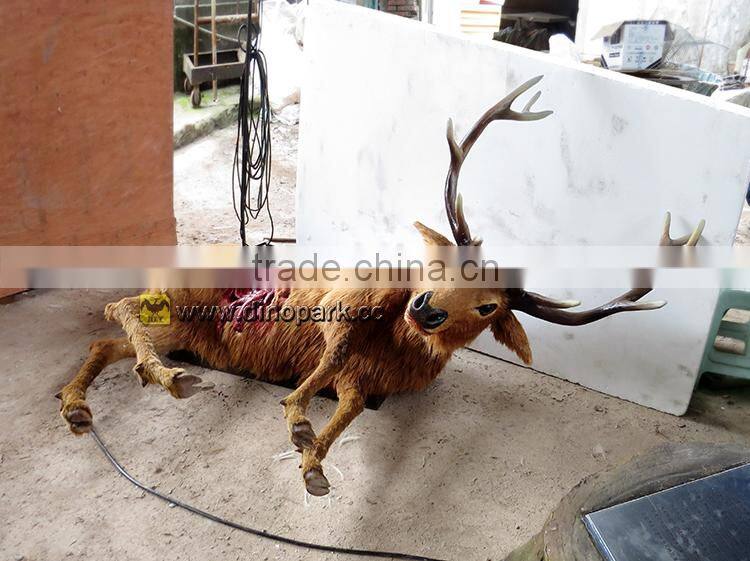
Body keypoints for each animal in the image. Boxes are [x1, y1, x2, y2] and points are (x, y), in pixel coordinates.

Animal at [57, 75, 705, 497]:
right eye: (446, 266)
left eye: (489, 307)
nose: (428, 309)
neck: (399, 348)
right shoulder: (343, 305)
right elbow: (331, 351)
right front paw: (296, 416)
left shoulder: (365, 384)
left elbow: (348, 410)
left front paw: (312, 459)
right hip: (183, 298)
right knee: (117, 308)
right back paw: (158, 378)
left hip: (184, 328)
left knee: (106, 340)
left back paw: (87, 401)